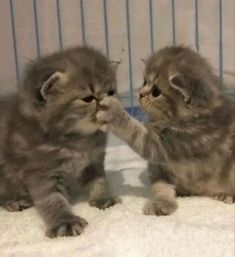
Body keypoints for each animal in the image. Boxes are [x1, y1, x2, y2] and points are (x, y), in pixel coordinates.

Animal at [0, 45, 120, 236]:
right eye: (88, 98)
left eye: (111, 92)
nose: (110, 103)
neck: (78, 140)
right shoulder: (41, 172)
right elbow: (51, 199)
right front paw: (65, 222)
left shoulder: (93, 161)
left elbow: (99, 181)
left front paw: (103, 198)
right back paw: (14, 200)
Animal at [96, 45, 235, 214]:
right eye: (144, 81)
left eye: (156, 92)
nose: (140, 94)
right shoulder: (159, 166)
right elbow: (160, 185)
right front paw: (162, 202)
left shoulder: (181, 142)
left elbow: (138, 135)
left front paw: (114, 113)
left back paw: (227, 194)